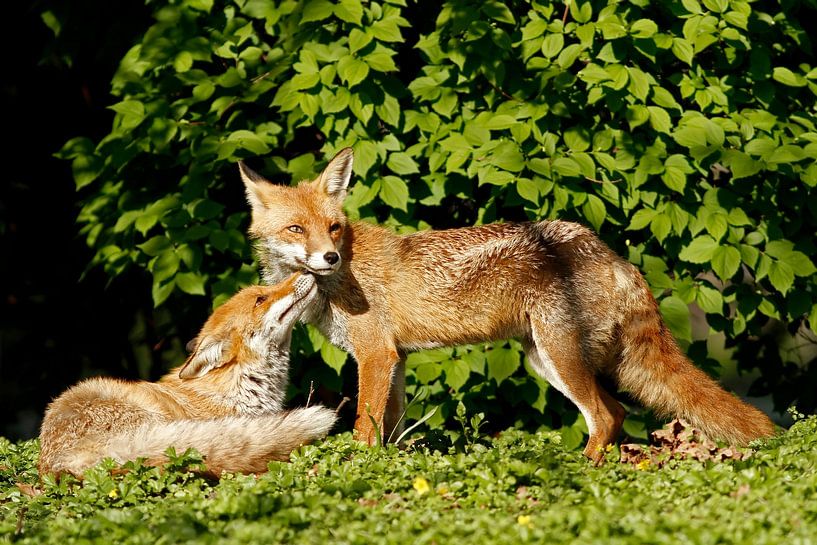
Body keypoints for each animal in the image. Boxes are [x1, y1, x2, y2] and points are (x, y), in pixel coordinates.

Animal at [238, 148, 775, 464]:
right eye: (296, 229)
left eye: (332, 228)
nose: (328, 257)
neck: (340, 275)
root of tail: (609, 252)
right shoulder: (396, 359)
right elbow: (390, 427)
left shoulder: (374, 355)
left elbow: (364, 430)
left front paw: (360, 470)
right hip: (544, 361)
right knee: (618, 414)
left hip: (559, 354)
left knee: (605, 416)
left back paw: (579, 474)